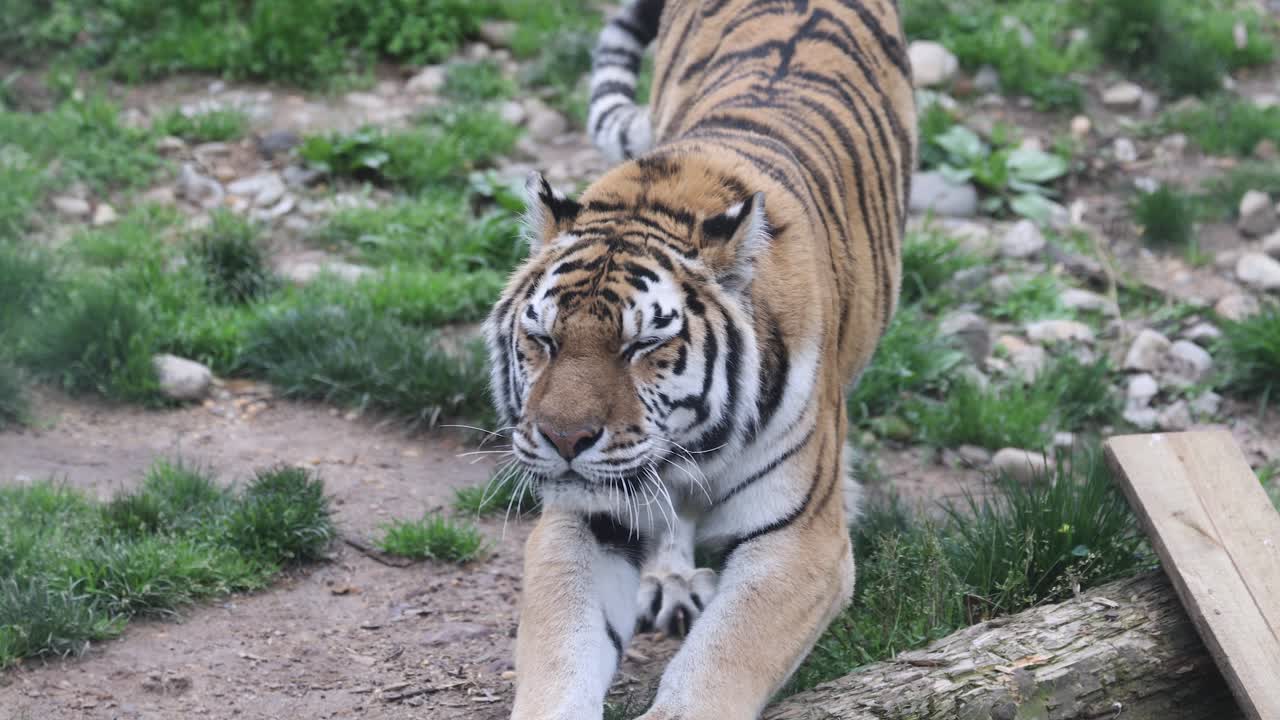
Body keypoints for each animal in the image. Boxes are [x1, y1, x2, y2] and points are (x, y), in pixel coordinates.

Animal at [483, 0, 916, 717]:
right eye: (542, 340)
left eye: (641, 346)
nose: (563, 439)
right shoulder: (583, 522)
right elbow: (562, 653)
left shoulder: (802, 541)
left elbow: (720, 659)